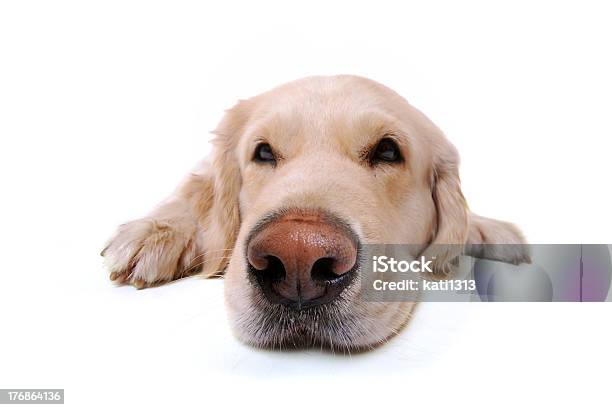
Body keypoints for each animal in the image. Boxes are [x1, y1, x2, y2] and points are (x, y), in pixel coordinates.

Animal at [103, 75, 528, 350]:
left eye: (388, 151)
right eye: (263, 152)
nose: (297, 258)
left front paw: (494, 232)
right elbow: (193, 191)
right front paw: (159, 230)